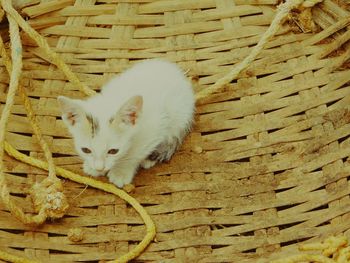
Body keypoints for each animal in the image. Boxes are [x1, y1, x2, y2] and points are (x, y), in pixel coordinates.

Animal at [57, 59, 194, 188]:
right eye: (86, 150)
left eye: (113, 151)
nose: (99, 168)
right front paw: (92, 167)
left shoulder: (155, 126)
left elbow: (136, 153)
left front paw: (121, 171)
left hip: (179, 115)